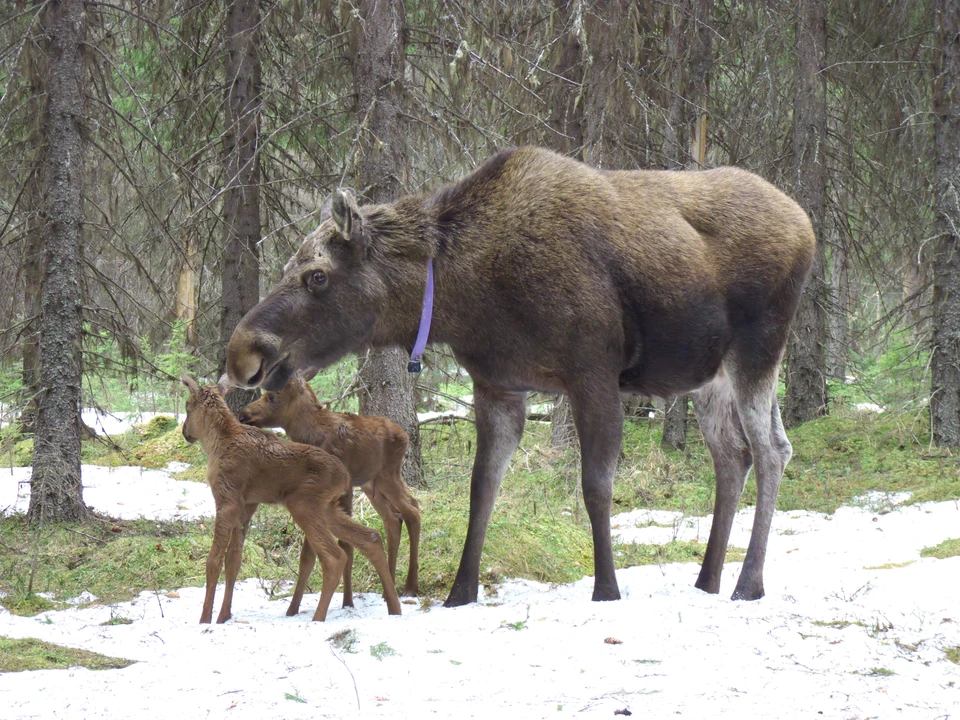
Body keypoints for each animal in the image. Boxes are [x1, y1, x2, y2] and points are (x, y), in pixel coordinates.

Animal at [180, 374, 402, 620]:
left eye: (187, 407)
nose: (185, 431)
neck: (216, 443)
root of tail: (344, 476)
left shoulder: (227, 499)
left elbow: (214, 561)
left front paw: (205, 620)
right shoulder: (248, 503)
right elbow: (234, 561)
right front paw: (223, 618)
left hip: (302, 505)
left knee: (334, 557)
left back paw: (317, 618)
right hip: (328, 508)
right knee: (370, 537)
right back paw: (395, 608)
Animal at [237, 372, 420, 612]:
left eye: (272, 396)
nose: (243, 415)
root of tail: (405, 435)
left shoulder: (338, 490)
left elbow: (336, 548)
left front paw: (346, 601)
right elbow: (312, 555)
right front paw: (296, 608)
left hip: (388, 475)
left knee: (412, 510)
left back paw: (410, 586)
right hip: (371, 484)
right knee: (393, 517)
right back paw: (388, 588)